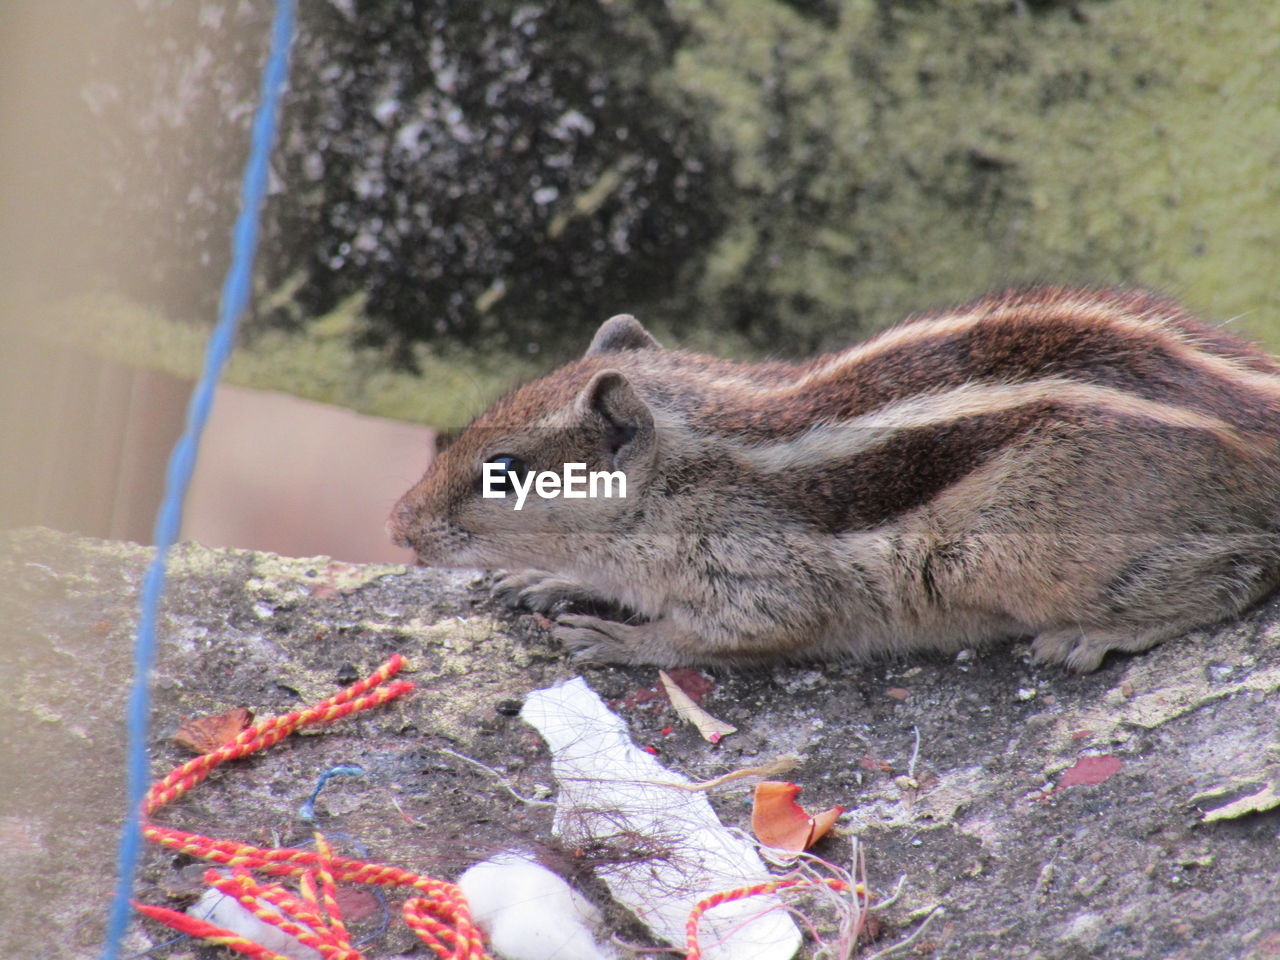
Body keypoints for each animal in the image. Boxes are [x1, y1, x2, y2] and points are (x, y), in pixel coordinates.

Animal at [386, 289, 1280, 670]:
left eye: (503, 472)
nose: (397, 522)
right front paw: (542, 578)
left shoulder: (763, 575)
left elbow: (721, 633)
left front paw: (619, 640)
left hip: (1027, 552)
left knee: (1243, 570)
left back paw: (1095, 635)